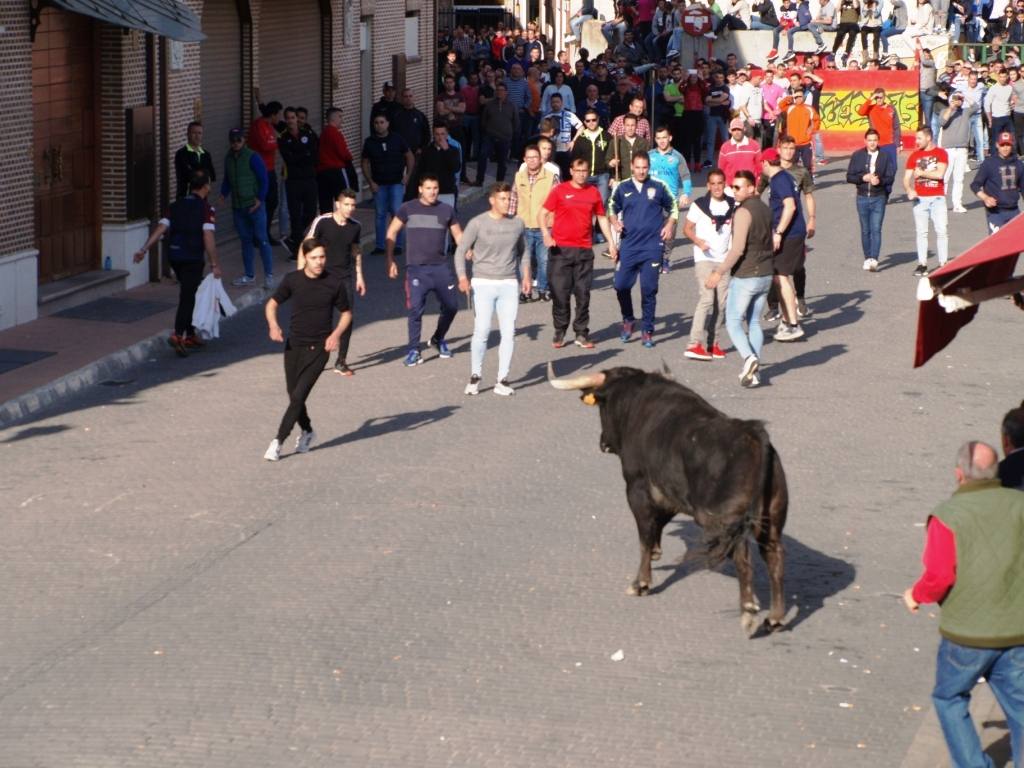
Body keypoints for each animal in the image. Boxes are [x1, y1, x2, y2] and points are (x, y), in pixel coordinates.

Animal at [548, 366, 786, 638]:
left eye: (602, 408)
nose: (603, 443)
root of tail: (755, 436)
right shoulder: (670, 492)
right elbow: (658, 523)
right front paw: (655, 552)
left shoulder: (637, 488)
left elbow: (644, 534)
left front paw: (640, 582)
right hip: (772, 518)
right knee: (774, 557)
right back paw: (775, 618)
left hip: (724, 520)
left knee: (743, 558)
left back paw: (748, 612)